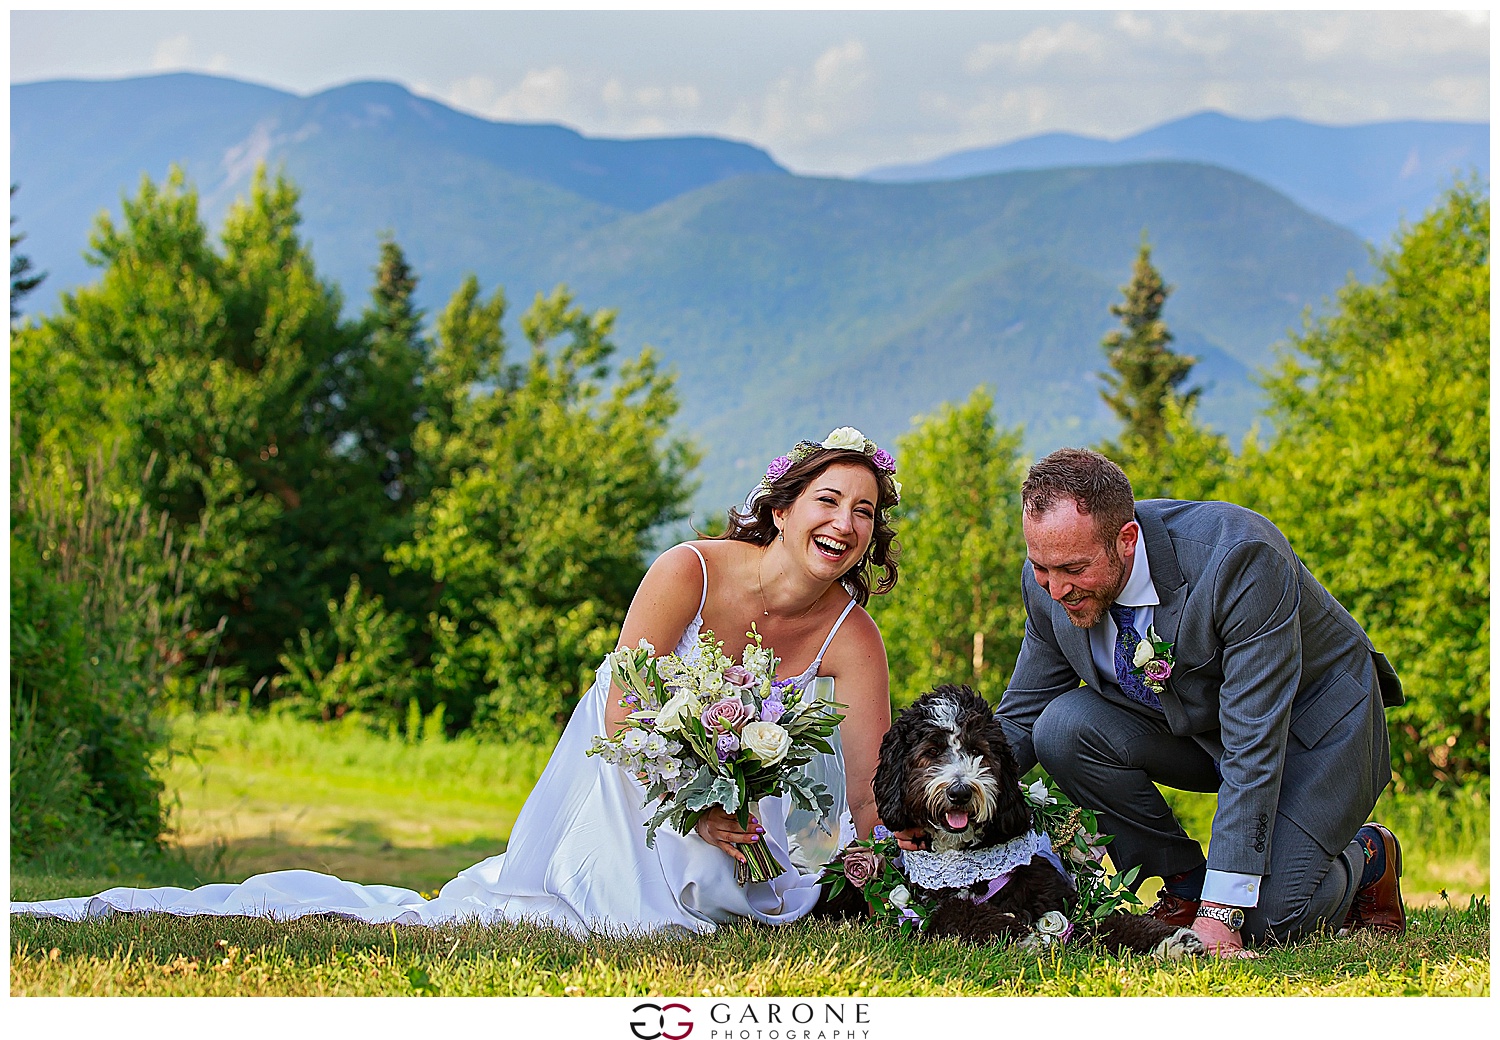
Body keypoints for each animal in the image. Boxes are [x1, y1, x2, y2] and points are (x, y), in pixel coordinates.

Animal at [822, 681, 1206, 954]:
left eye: (978, 750)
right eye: (931, 751)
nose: (960, 792)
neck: (967, 861)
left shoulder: (1058, 898)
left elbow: (1104, 922)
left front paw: (1171, 941)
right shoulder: (926, 907)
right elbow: (960, 914)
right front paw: (1018, 934)